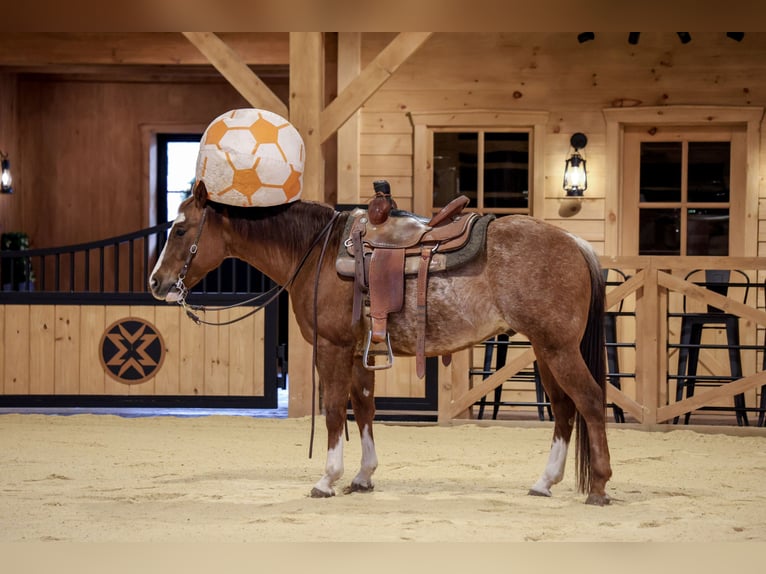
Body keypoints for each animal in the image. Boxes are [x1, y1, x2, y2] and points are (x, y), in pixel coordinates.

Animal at [149, 182, 612, 505]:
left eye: (180, 229)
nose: (156, 282)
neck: (318, 250)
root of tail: (576, 243)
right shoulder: (358, 352)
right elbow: (365, 408)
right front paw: (362, 476)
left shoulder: (332, 347)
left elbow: (335, 411)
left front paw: (327, 479)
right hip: (544, 352)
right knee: (564, 411)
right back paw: (544, 483)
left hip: (557, 349)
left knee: (589, 402)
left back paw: (599, 486)